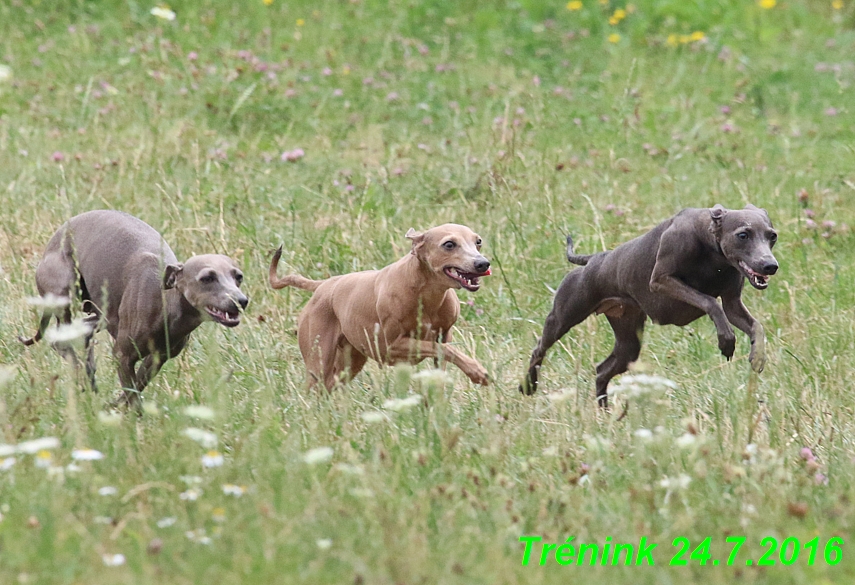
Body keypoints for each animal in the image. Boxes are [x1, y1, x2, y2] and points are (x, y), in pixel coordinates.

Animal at [20, 210, 247, 406]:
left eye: (238, 277)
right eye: (207, 278)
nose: (241, 301)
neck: (165, 306)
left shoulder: (158, 358)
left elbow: (136, 387)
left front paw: (116, 405)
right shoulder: (123, 355)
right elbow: (133, 396)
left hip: (101, 314)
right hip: (64, 290)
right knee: (62, 340)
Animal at [520, 205, 780, 406]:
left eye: (772, 236)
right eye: (743, 235)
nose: (770, 266)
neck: (712, 250)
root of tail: (593, 259)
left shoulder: (732, 304)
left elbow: (756, 326)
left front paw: (758, 356)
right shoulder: (661, 281)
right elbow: (709, 302)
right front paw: (726, 340)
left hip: (629, 342)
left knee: (601, 371)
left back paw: (604, 414)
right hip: (563, 317)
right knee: (539, 348)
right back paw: (528, 385)